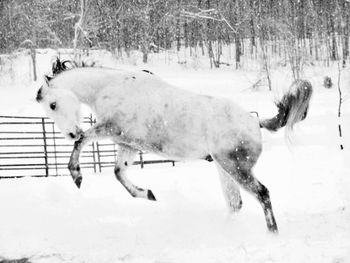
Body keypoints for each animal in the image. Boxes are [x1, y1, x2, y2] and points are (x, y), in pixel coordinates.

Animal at [37, 59, 314, 233]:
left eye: (53, 105)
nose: (70, 133)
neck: (111, 87)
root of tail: (254, 121)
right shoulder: (127, 144)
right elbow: (119, 173)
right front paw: (147, 194)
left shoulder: (112, 129)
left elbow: (85, 142)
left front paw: (76, 175)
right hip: (224, 170)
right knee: (236, 204)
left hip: (237, 168)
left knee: (263, 194)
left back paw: (272, 233)